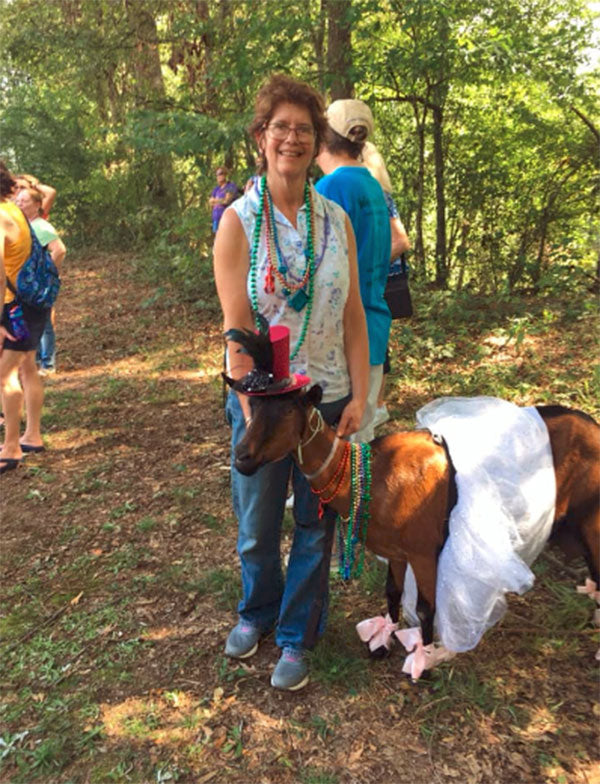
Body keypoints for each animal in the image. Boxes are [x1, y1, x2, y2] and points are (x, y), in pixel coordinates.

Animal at [232, 384, 600, 656]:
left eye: (288, 412)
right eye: (254, 408)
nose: (242, 458)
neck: (373, 475)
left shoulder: (423, 552)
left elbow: (425, 607)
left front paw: (422, 658)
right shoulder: (397, 551)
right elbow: (393, 593)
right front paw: (384, 638)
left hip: (592, 521)